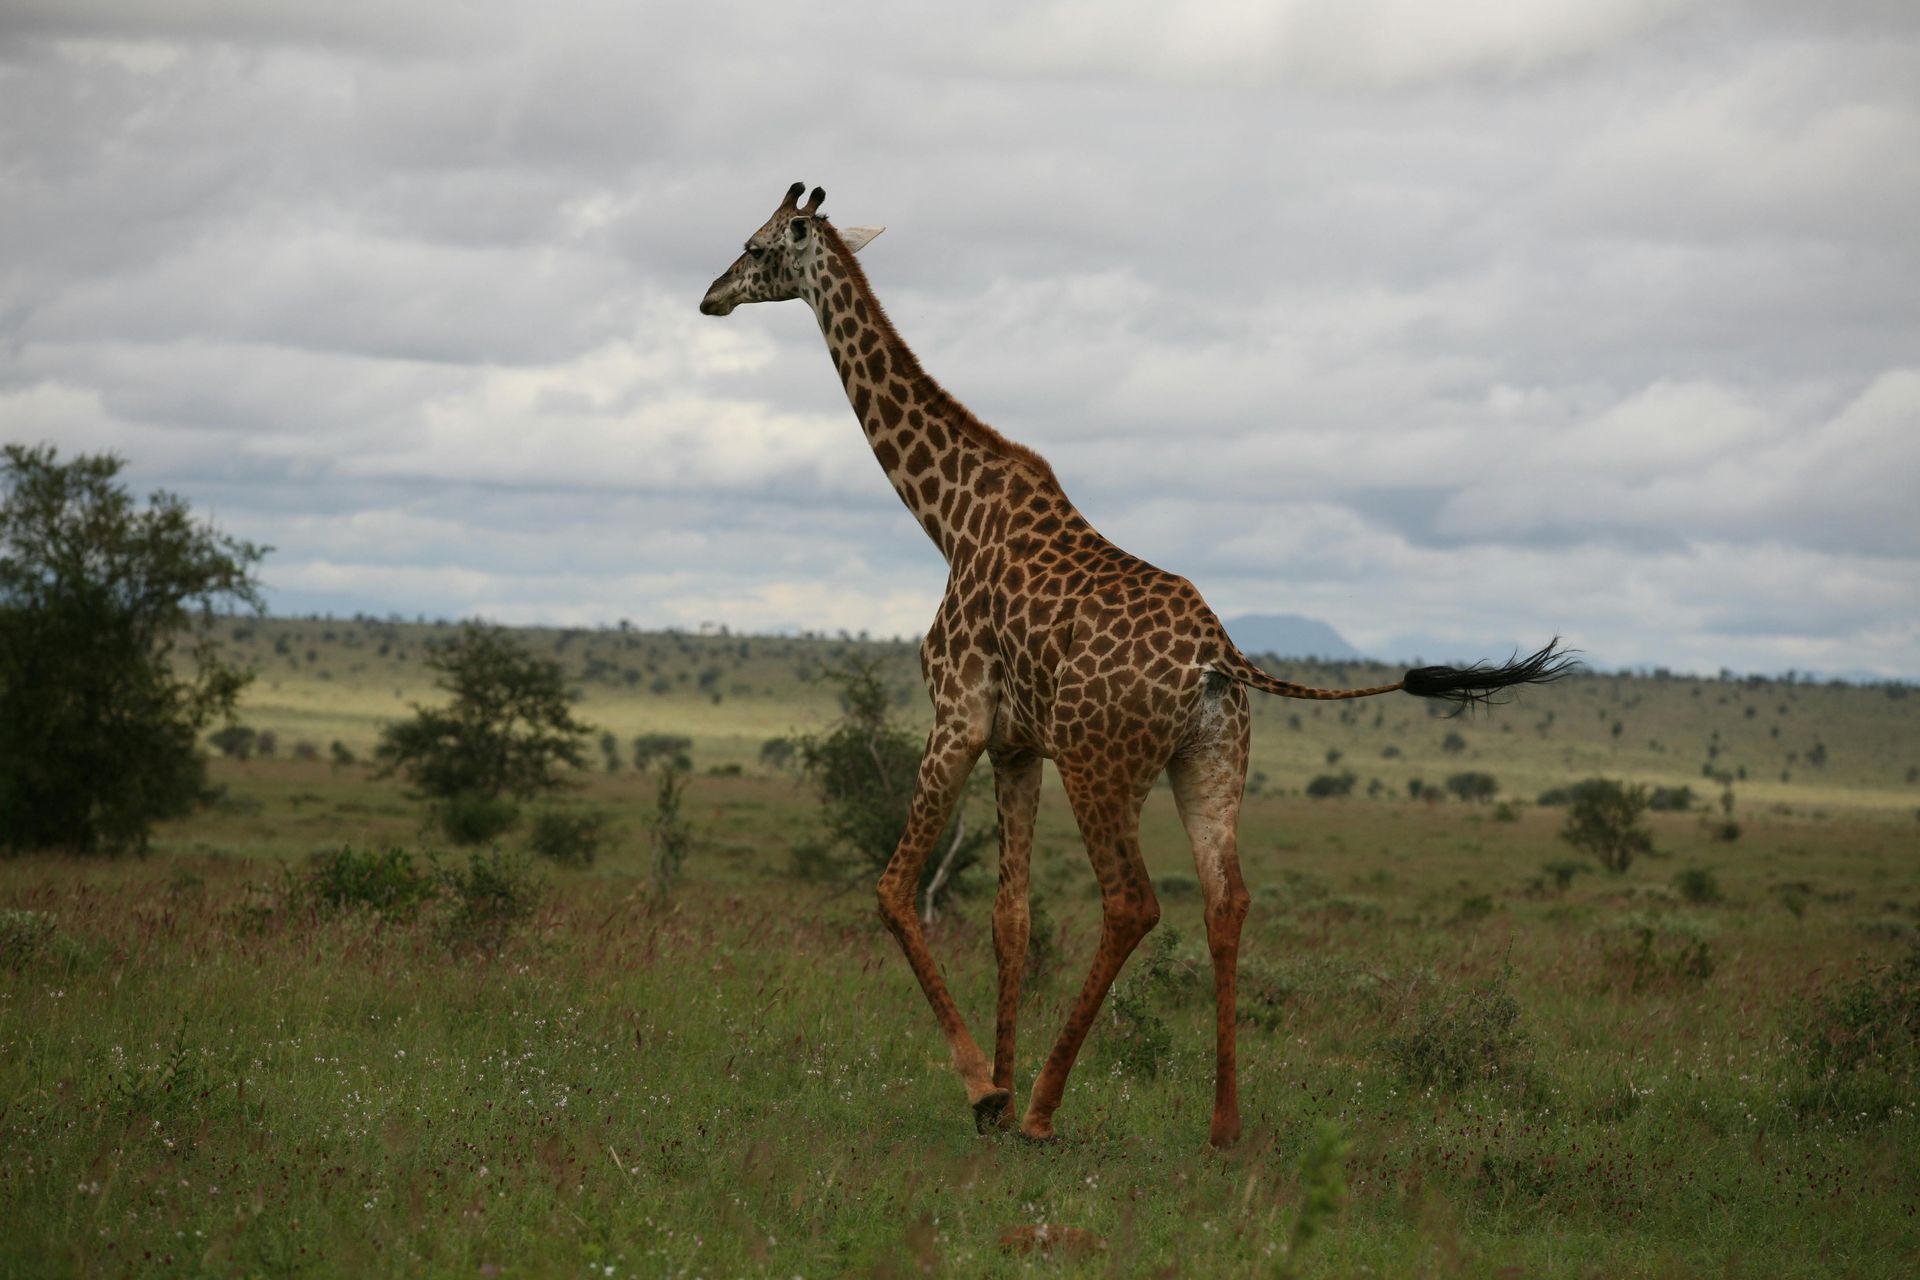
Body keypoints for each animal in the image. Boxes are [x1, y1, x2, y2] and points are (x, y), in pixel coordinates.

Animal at [698, 182, 1566, 1151]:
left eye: (755, 245)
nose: (710, 296)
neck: (950, 516)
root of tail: (1219, 659)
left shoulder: (957, 714)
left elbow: (893, 891)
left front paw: (987, 1090)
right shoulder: (1015, 744)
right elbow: (1010, 920)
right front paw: (996, 1092)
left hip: (1100, 761)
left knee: (1133, 903)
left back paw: (1047, 1106)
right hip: (1210, 762)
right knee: (1227, 900)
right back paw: (1222, 1124)